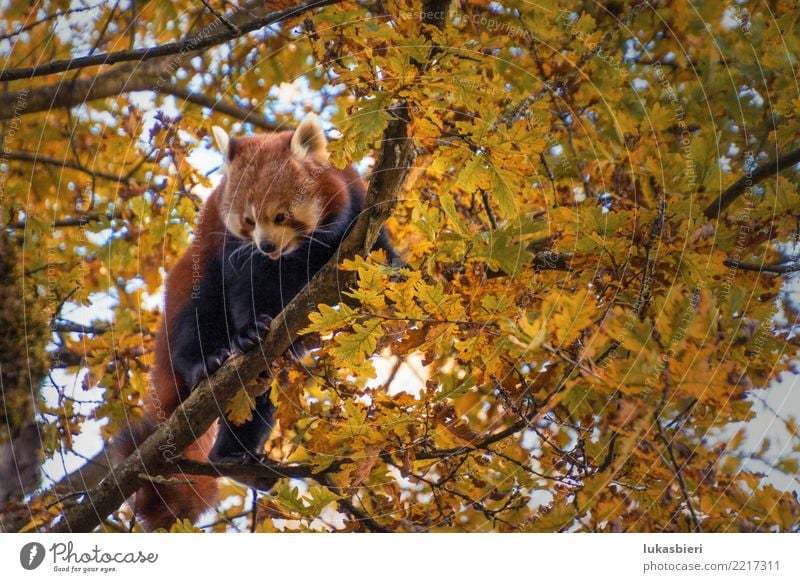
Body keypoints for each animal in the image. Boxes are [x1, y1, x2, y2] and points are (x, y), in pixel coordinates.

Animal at [134, 116, 396, 532]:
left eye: (281, 216)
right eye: (249, 220)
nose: (267, 246)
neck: (298, 255)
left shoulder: (360, 213)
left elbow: (381, 264)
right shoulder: (235, 252)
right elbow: (245, 293)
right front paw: (249, 332)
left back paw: (236, 459)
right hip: (187, 284)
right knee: (194, 325)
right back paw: (207, 366)